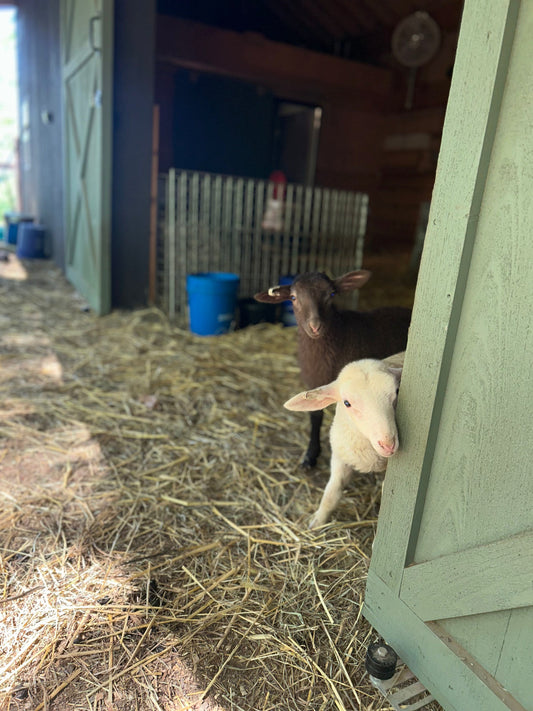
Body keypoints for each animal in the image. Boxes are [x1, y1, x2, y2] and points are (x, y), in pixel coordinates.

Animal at [254, 270, 411, 468]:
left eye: (332, 294)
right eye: (293, 297)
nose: (315, 326)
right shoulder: (314, 382)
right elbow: (315, 417)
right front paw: (310, 455)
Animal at [284, 353, 404, 528]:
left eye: (397, 391)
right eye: (347, 403)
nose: (388, 444)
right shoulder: (340, 457)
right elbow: (331, 493)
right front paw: (316, 522)